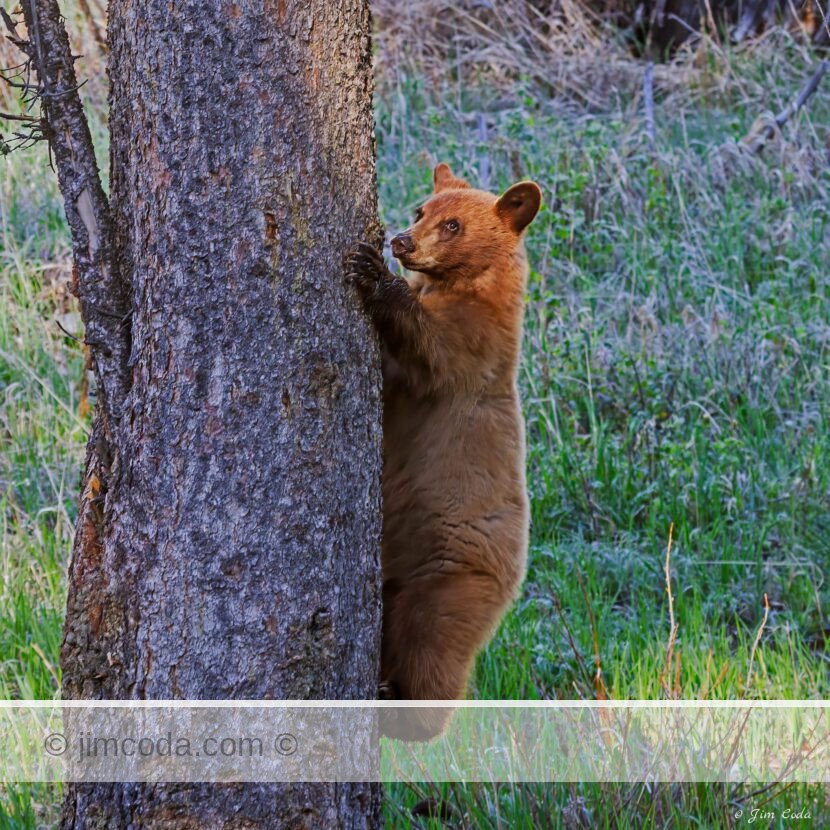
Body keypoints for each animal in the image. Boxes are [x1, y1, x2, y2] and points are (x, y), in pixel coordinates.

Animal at [345, 163, 541, 739]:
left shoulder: (475, 345)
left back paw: (401, 705)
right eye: (421, 210)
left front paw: (373, 274)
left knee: (432, 650)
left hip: (452, 580)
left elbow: (430, 348)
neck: (463, 284)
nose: (401, 240)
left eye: (454, 225)